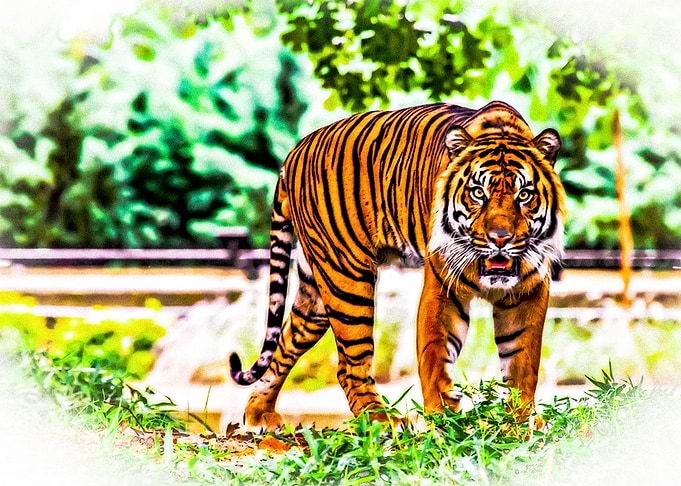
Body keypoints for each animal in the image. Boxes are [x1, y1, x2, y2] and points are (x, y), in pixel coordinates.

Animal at [229, 100, 566, 429]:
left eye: (524, 195)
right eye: (478, 193)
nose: (500, 238)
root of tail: (294, 151)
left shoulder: (529, 292)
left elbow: (523, 361)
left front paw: (517, 422)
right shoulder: (442, 288)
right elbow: (435, 354)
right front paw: (444, 416)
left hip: (316, 293)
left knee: (286, 342)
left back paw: (259, 413)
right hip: (347, 280)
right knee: (349, 366)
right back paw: (382, 420)